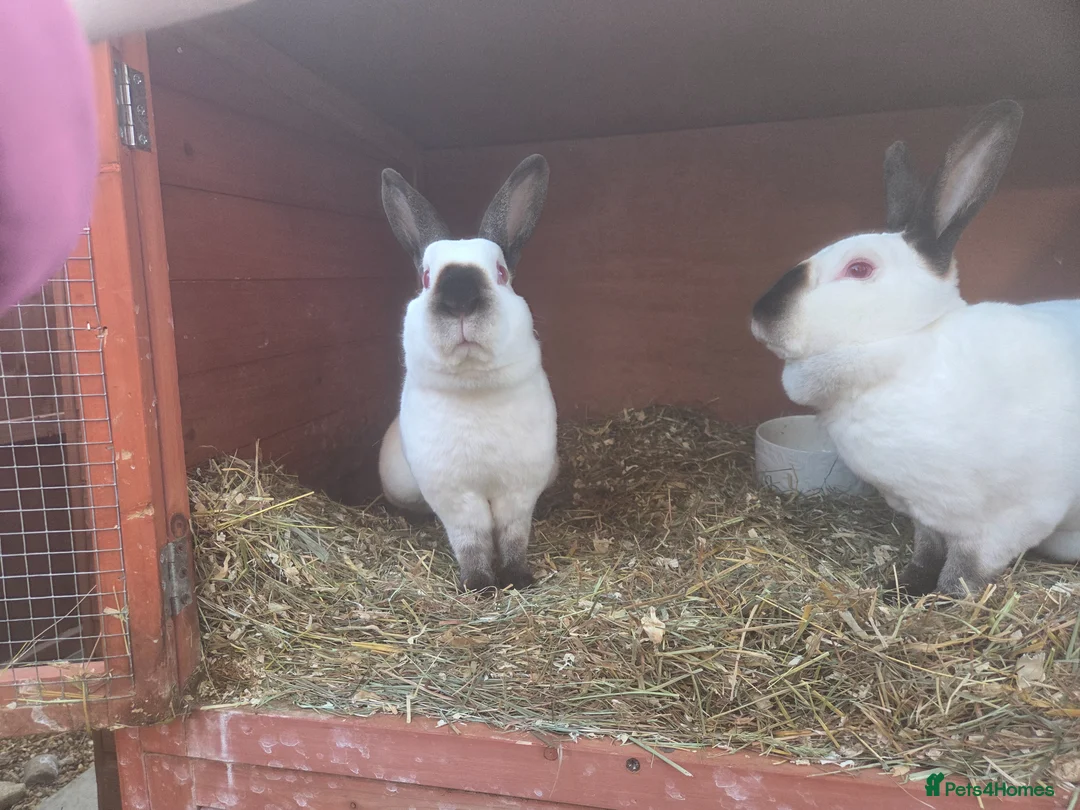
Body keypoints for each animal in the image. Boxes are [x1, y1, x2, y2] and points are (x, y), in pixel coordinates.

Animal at [377, 155, 559, 592]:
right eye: (426, 278)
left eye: (501, 273)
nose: (459, 296)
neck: (474, 384)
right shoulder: (454, 495)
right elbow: (471, 541)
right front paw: (479, 584)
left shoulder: (519, 490)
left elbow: (513, 536)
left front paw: (519, 578)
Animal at [750, 100, 1080, 598]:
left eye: (860, 268)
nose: (759, 315)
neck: (907, 352)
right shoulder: (928, 516)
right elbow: (926, 552)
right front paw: (904, 585)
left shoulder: (1008, 520)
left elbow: (965, 570)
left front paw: (944, 600)